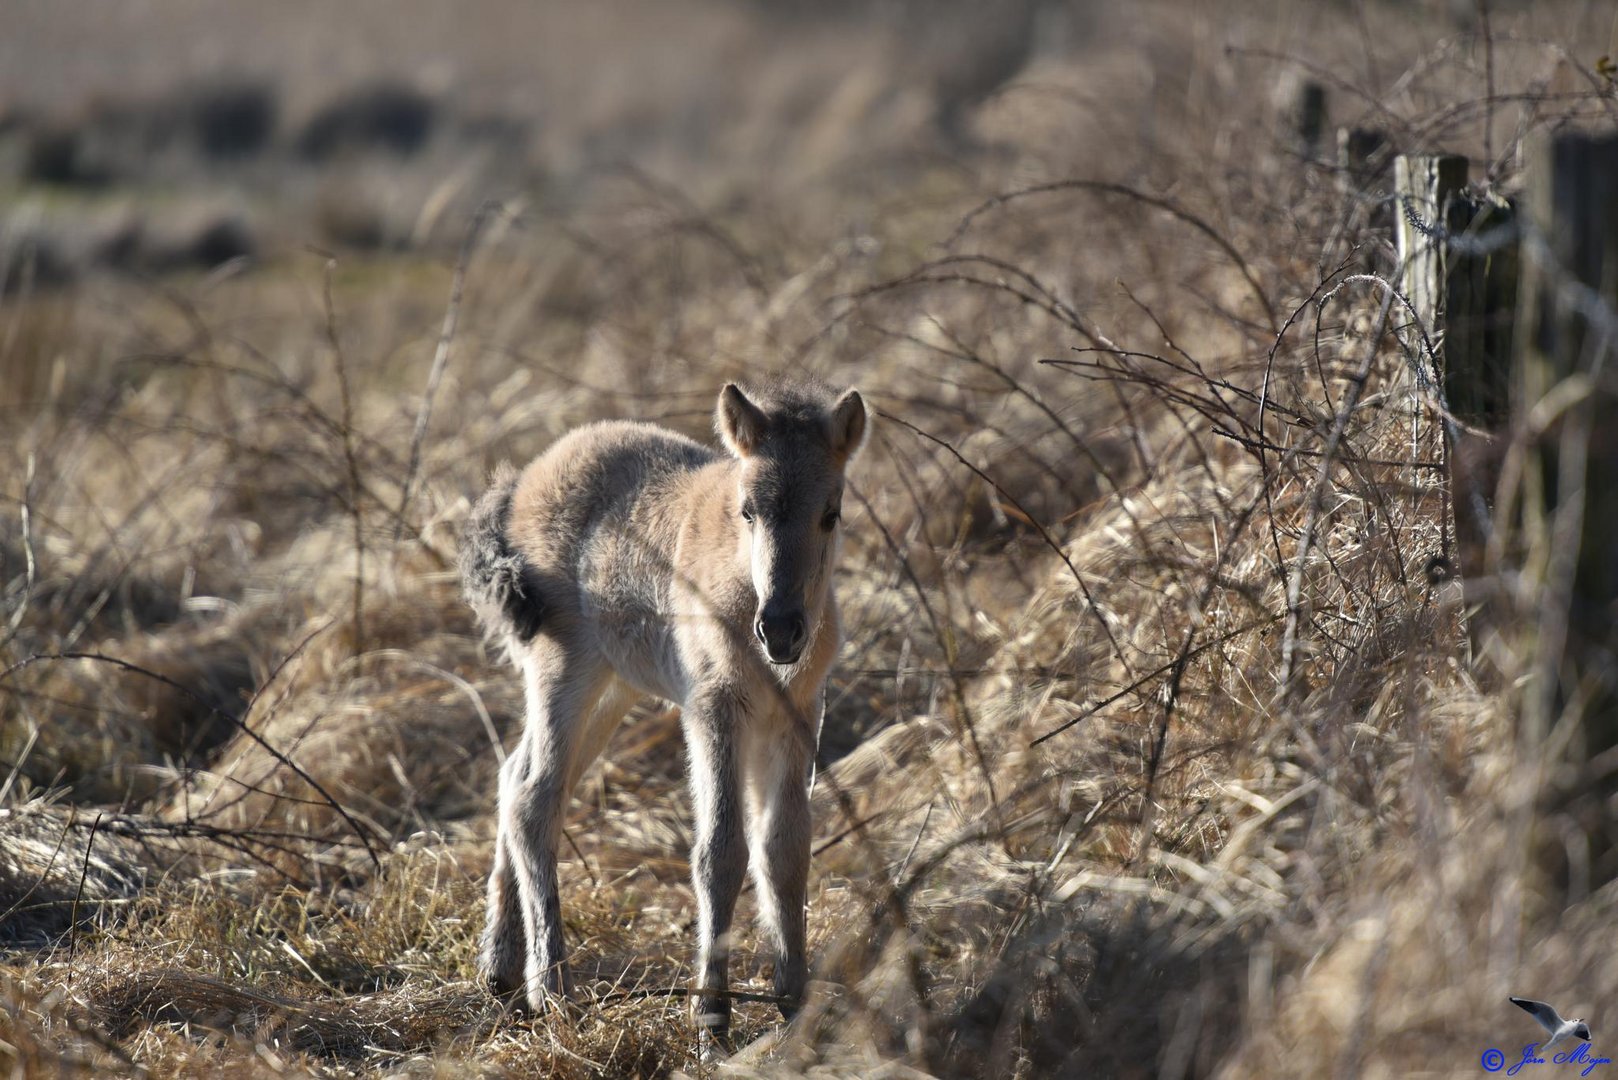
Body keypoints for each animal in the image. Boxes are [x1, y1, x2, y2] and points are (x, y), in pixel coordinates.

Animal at [459, 382, 860, 1049]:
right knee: (535, 797)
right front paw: (712, 1017)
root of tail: (516, 488)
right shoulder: (712, 705)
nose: (781, 629)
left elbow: (784, 847)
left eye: (831, 513)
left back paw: (500, 968)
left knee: (514, 776)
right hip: (562, 666)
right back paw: (551, 987)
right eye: (747, 511)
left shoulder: (799, 712)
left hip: (614, 687)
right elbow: (720, 851)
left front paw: (794, 1001)